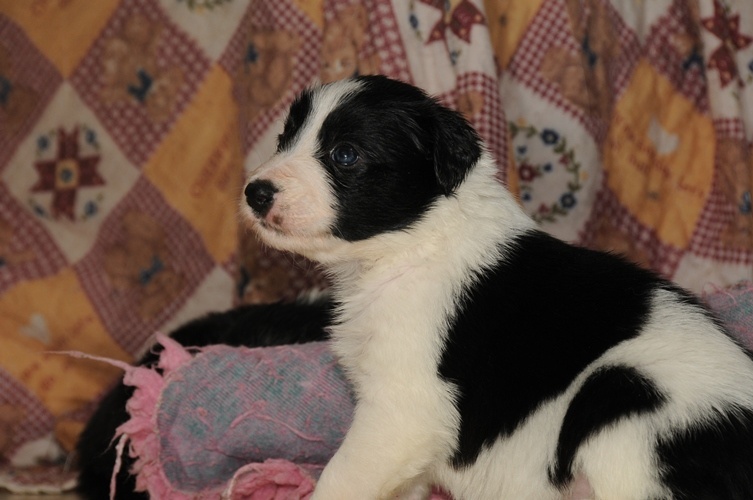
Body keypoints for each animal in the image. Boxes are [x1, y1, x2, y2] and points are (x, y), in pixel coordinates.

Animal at [244, 75, 752, 500]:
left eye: (344, 154)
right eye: (284, 139)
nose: (255, 192)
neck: (414, 243)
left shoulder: (400, 412)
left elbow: (341, 478)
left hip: (623, 396)